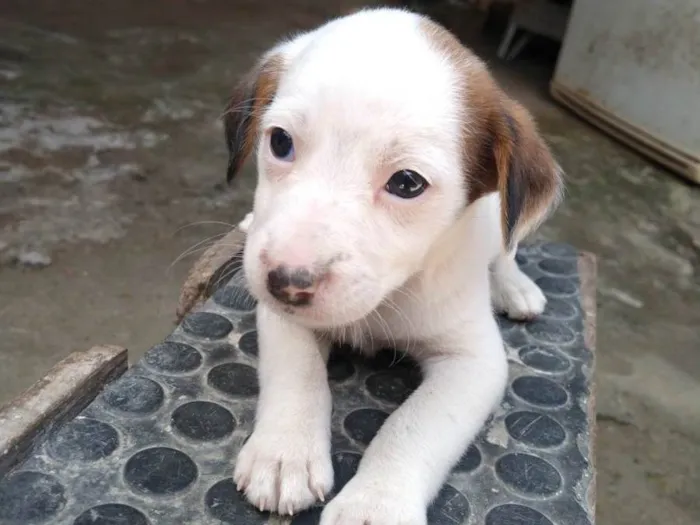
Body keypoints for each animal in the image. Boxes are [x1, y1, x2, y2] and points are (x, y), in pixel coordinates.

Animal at [224, 6, 564, 520]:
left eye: (407, 183)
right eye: (280, 142)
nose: (286, 282)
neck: (390, 296)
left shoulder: (474, 362)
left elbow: (413, 425)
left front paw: (375, 502)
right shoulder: (282, 317)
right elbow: (297, 374)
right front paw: (284, 452)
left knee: (508, 247)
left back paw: (515, 286)